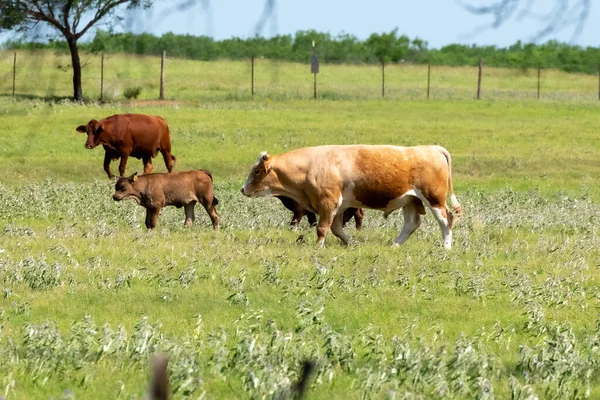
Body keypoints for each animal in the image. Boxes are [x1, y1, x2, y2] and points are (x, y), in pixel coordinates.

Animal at [241, 144, 462, 250]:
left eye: (258, 171)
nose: (243, 189)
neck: (311, 166)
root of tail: (432, 148)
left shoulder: (328, 202)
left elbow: (323, 228)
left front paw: (318, 247)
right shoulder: (339, 206)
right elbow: (337, 229)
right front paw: (351, 244)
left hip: (433, 199)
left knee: (446, 220)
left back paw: (446, 247)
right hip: (410, 200)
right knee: (411, 224)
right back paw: (395, 245)